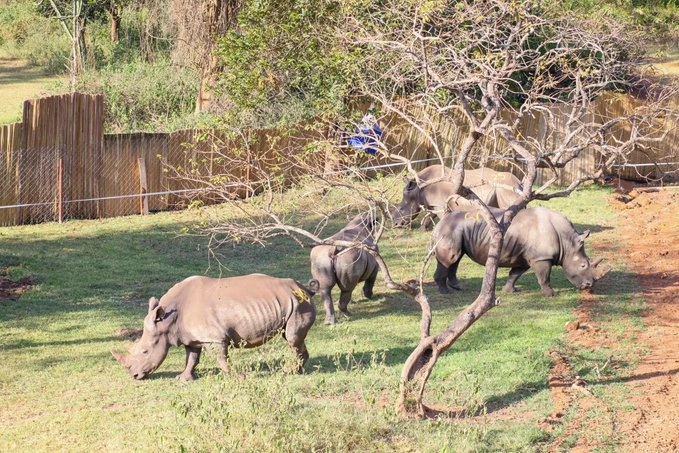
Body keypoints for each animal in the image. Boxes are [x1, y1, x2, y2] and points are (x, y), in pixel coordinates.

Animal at [112, 274, 318, 381]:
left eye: (145, 351)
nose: (134, 375)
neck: (167, 321)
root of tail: (306, 289)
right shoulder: (192, 338)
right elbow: (191, 358)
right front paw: (183, 378)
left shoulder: (214, 338)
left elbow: (221, 359)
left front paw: (239, 377)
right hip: (292, 302)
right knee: (291, 338)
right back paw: (297, 370)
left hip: (298, 303)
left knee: (292, 338)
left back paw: (291, 372)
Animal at [392, 164, 522, 228]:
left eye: (401, 209)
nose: (396, 224)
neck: (417, 190)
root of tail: (519, 182)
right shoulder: (434, 204)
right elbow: (430, 215)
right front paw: (423, 229)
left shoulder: (440, 205)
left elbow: (439, 217)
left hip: (505, 187)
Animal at [432, 207, 607, 297]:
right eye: (583, 265)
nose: (589, 285)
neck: (567, 243)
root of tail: (440, 221)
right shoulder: (541, 257)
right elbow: (545, 277)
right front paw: (552, 294)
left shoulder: (528, 257)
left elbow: (515, 274)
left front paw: (510, 290)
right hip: (450, 230)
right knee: (451, 258)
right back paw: (445, 292)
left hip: (458, 229)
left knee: (457, 257)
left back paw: (458, 287)